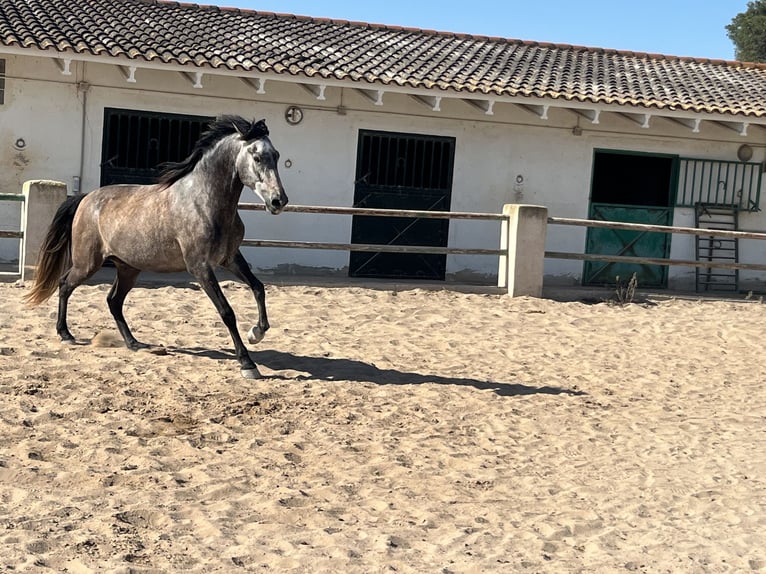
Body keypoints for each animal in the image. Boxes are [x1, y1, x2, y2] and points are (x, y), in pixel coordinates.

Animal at [24, 115, 288, 380]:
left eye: (276, 155)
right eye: (257, 156)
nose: (278, 201)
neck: (203, 202)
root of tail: (86, 198)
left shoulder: (230, 258)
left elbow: (258, 288)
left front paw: (256, 333)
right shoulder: (200, 267)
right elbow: (227, 312)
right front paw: (247, 364)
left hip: (128, 268)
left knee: (113, 300)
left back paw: (134, 343)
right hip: (87, 263)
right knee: (65, 285)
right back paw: (66, 334)